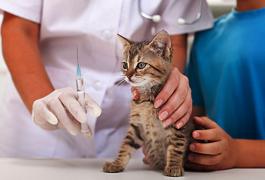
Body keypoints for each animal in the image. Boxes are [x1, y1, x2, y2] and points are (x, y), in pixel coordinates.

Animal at [102, 30, 192, 176]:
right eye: (125, 65)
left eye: (141, 65)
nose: (128, 76)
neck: (146, 99)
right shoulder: (137, 126)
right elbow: (125, 145)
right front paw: (117, 164)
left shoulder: (177, 122)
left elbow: (176, 146)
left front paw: (173, 166)